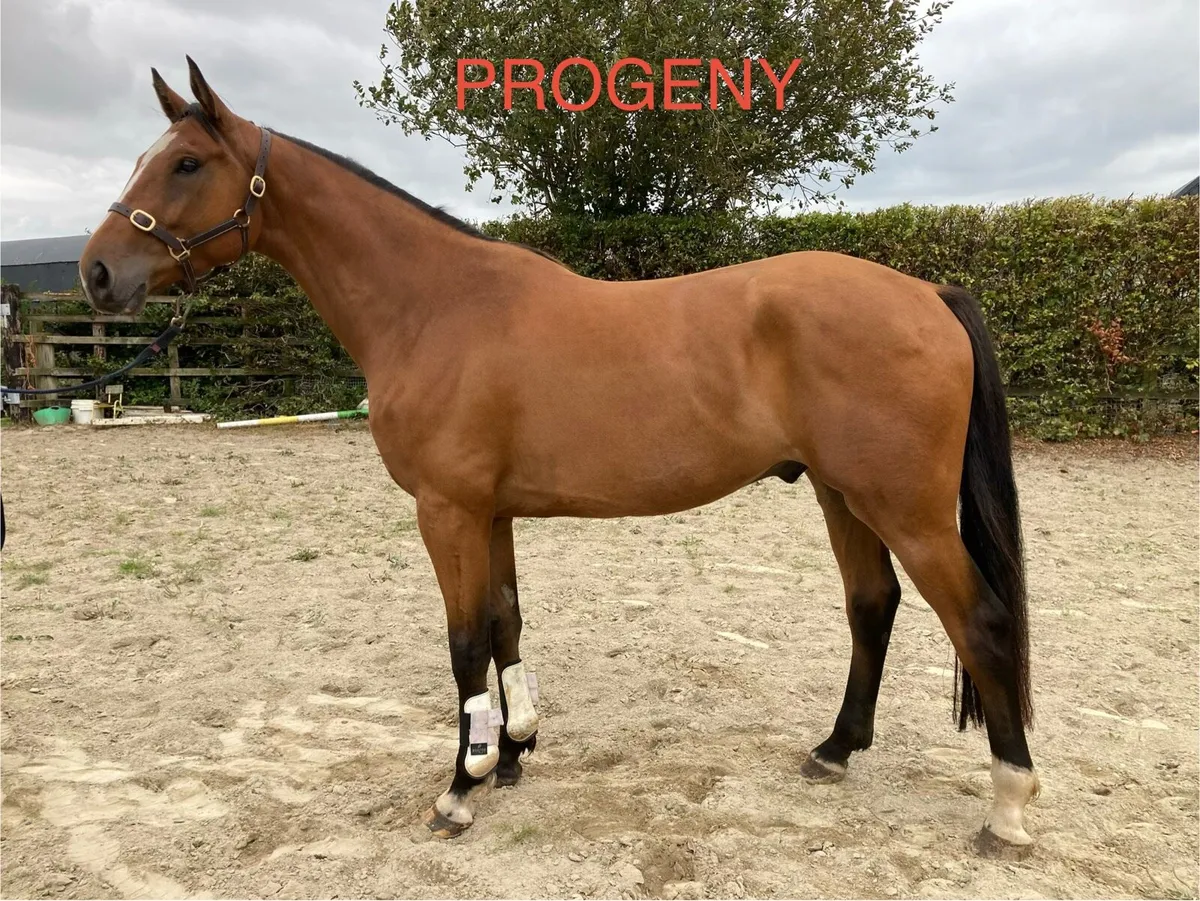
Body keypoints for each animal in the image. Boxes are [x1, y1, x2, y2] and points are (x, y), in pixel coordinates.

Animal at [79, 58, 1039, 856]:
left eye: (186, 164)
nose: (95, 273)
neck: (433, 305)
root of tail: (928, 293)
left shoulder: (447, 509)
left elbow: (465, 642)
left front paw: (458, 789)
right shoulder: (492, 510)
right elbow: (507, 623)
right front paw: (509, 753)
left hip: (906, 508)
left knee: (983, 623)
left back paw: (1008, 808)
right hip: (843, 494)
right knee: (872, 605)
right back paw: (836, 748)